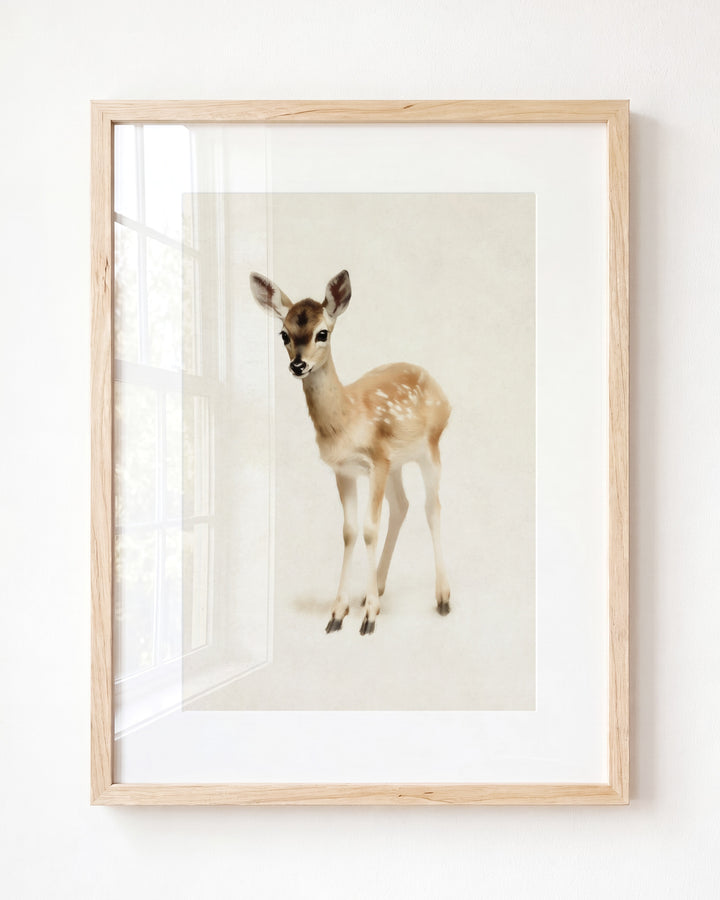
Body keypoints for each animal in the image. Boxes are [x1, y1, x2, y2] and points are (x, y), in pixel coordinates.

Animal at [250, 269, 451, 636]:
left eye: (322, 333)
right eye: (284, 333)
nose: (298, 365)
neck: (347, 421)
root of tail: (440, 389)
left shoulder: (377, 460)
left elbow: (370, 528)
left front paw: (369, 618)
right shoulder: (344, 469)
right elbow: (349, 531)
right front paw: (338, 613)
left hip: (429, 447)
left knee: (432, 506)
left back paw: (442, 597)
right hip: (397, 463)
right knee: (402, 505)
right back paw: (377, 589)